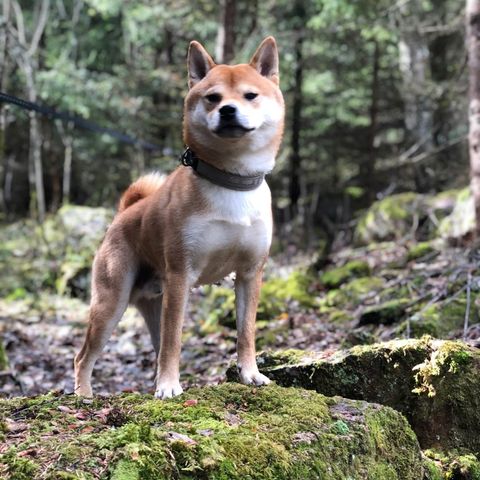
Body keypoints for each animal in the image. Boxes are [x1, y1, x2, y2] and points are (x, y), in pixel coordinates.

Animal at [74, 36, 284, 398]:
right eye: (212, 98)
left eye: (250, 95)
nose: (227, 110)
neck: (231, 181)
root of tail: (122, 215)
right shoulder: (181, 275)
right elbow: (175, 341)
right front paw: (170, 387)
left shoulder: (249, 274)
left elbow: (246, 332)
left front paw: (250, 373)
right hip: (112, 303)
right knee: (84, 356)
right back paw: (83, 395)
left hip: (153, 302)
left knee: (156, 348)